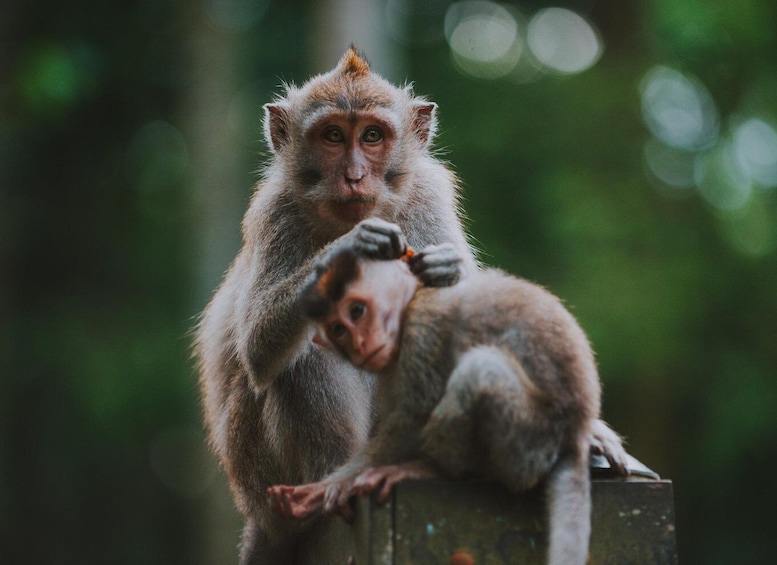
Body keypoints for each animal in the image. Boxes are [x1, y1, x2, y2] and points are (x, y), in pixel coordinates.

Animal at [268, 237, 604, 565]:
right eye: (338, 329)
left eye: (357, 311)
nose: (360, 344)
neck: (412, 304)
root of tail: (574, 436)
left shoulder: (422, 335)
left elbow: (414, 419)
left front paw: (335, 486)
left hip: (530, 444)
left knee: (479, 371)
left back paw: (434, 469)